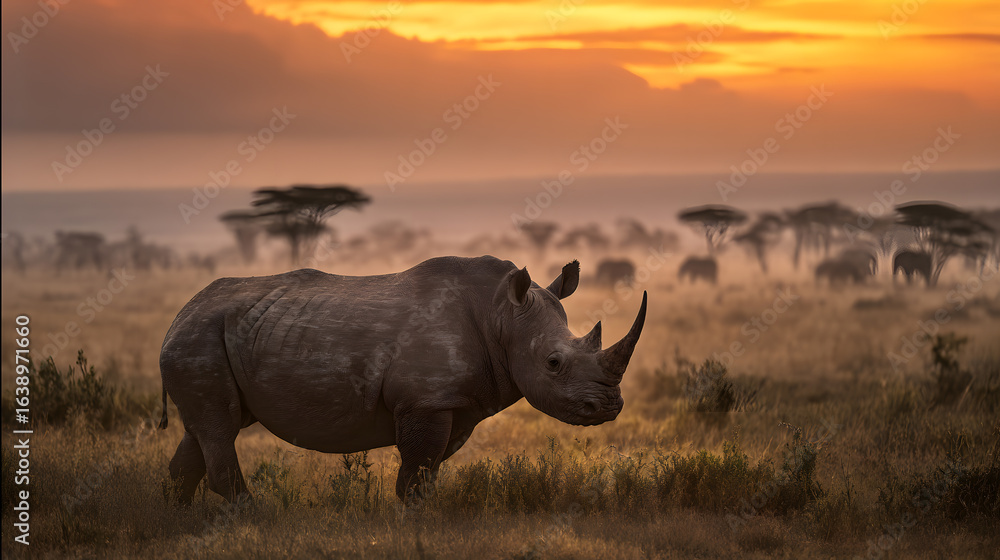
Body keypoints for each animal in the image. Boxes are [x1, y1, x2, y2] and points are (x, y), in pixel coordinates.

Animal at [158, 256, 647, 504]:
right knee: (218, 427)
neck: (502, 316)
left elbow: (427, 471)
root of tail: (177, 315)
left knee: (205, 430)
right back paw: (253, 520)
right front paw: (414, 524)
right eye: (553, 363)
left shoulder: (455, 402)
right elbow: (417, 471)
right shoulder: (426, 400)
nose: (608, 407)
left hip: (215, 335)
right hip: (199, 338)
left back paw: (180, 522)